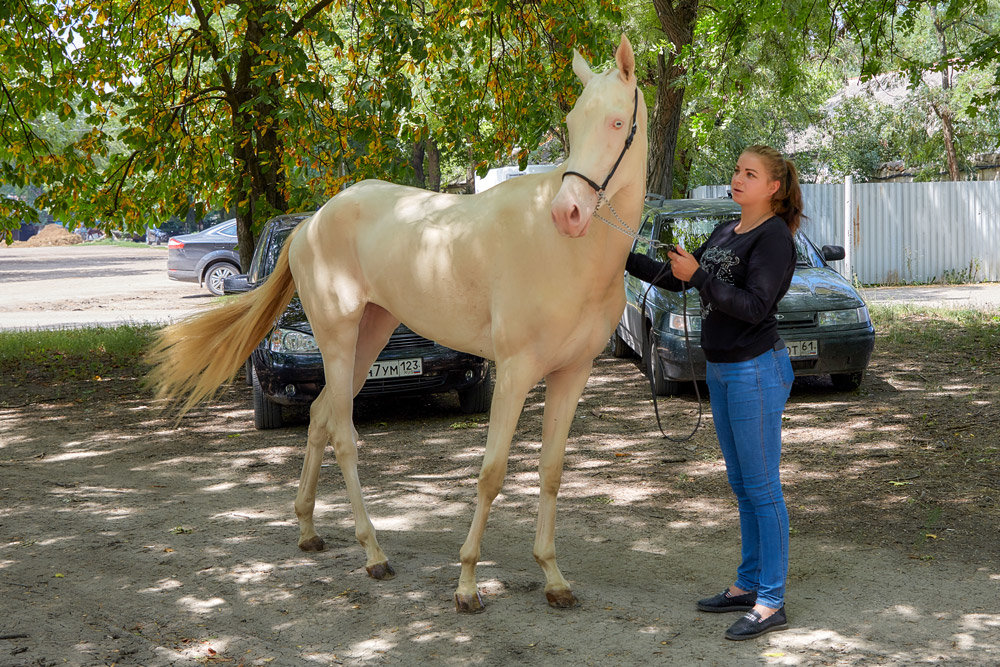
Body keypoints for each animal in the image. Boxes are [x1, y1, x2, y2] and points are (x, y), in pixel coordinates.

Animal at [146, 34, 648, 612]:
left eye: (616, 121)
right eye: (571, 122)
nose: (569, 213)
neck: (567, 253)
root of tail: (310, 224)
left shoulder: (572, 374)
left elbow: (551, 472)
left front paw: (553, 577)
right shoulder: (516, 372)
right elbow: (492, 473)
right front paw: (467, 584)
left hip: (370, 336)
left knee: (319, 417)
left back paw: (308, 530)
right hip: (337, 338)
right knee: (341, 432)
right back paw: (373, 554)